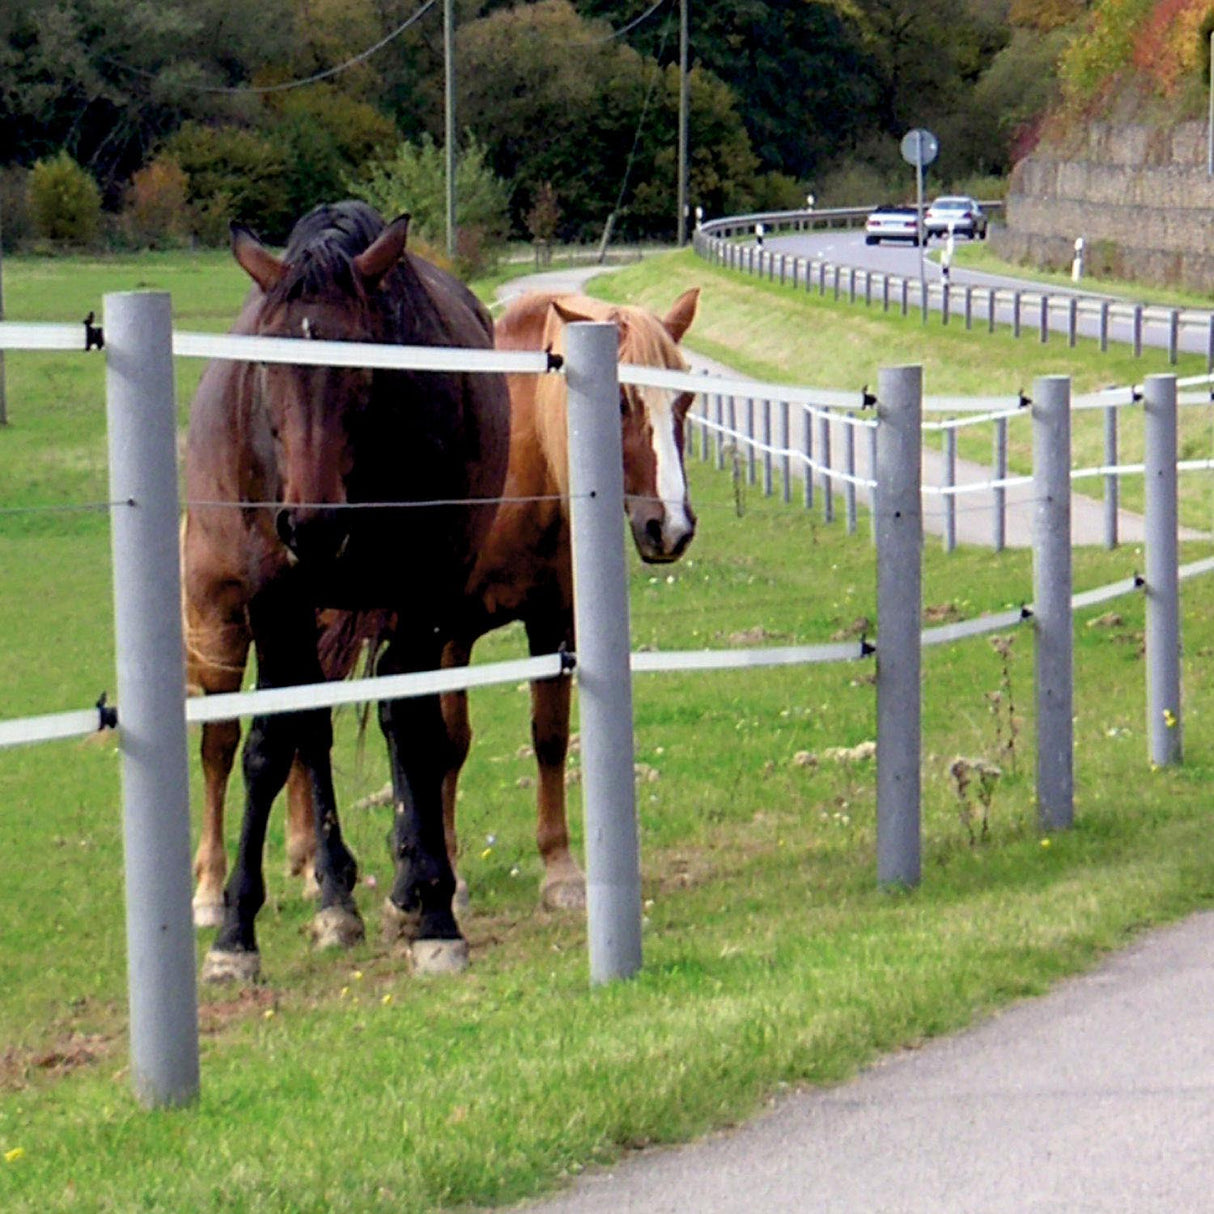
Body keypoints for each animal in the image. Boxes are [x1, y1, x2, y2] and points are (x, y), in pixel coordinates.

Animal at [184, 199, 512, 976]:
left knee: (392, 711)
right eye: (266, 363)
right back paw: (334, 895)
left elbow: (416, 727)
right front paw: (235, 933)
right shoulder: (274, 596)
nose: (310, 521)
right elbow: (271, 744)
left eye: (361, 362)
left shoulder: (425, 593)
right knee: (308, 723)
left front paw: (435, 911)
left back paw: (405, 884)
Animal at [262, 284, 704, 912]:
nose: (669, 528)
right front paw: (451, 876)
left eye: (685, 398)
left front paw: (560, 871)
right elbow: (448, 744)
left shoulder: (553, 623)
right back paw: (310, 866)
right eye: (618, 401)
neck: (524, 467)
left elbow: (548, 736)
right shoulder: (449, 634)